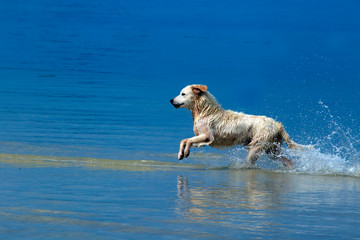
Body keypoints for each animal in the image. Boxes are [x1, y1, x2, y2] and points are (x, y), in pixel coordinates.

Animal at [169, 84, 310, 167]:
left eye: (183, 94)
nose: (171, 100)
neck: (205, 111)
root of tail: (277, 125)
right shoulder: (201, 137)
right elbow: (185, 141)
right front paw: (181, 154)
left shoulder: (207, 136)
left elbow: (186, 140)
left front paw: (185, 153)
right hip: (272, 150)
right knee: (288, 161)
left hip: (256, 147)